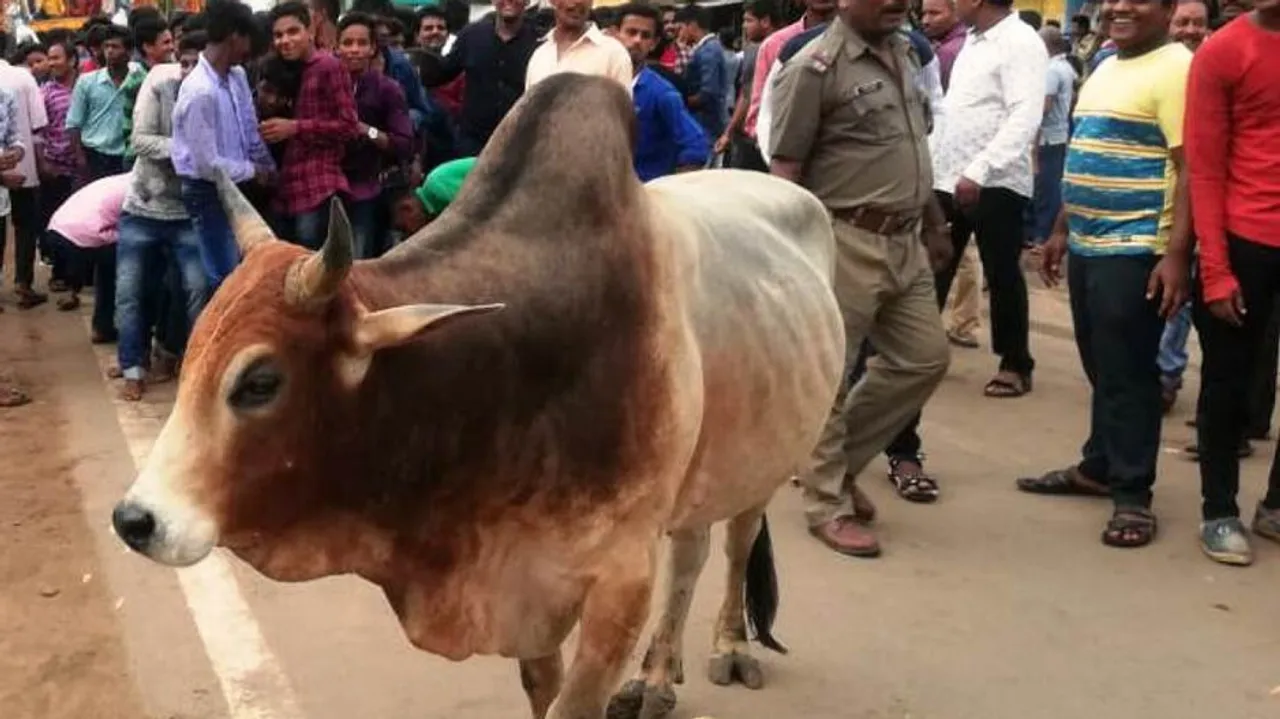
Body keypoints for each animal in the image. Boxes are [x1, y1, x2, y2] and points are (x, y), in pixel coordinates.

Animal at [110, 73, 845, 719]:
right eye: (194, 350)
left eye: (260, 381)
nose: (134, 520)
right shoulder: (527, 596)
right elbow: (541, 688)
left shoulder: (621, 581)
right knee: (692, 552)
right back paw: (658, 678)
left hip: (764, 461)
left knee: (734, 543)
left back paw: (728, 648)